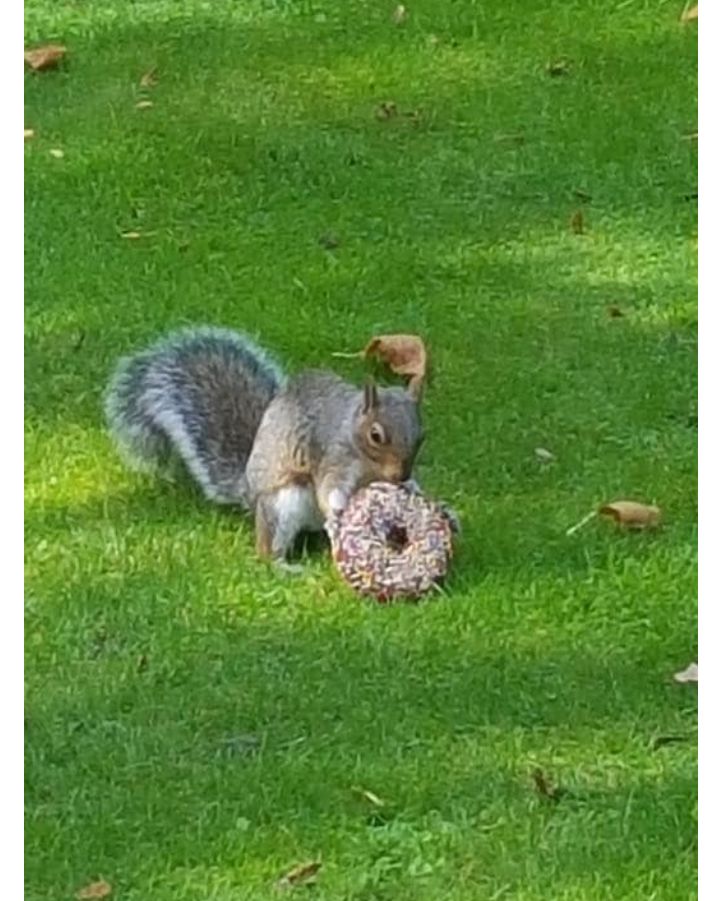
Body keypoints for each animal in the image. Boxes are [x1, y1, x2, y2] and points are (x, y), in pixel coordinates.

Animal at [104, 324, 424, 564]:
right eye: (376, 435)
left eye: (422, 436)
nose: (401, 475)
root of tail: (247, 489)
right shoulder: (332, 456)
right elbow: (329, 493)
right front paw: (336, 517)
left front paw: (413, 487)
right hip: (282, 505)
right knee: (268, 550)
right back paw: (285, 566)